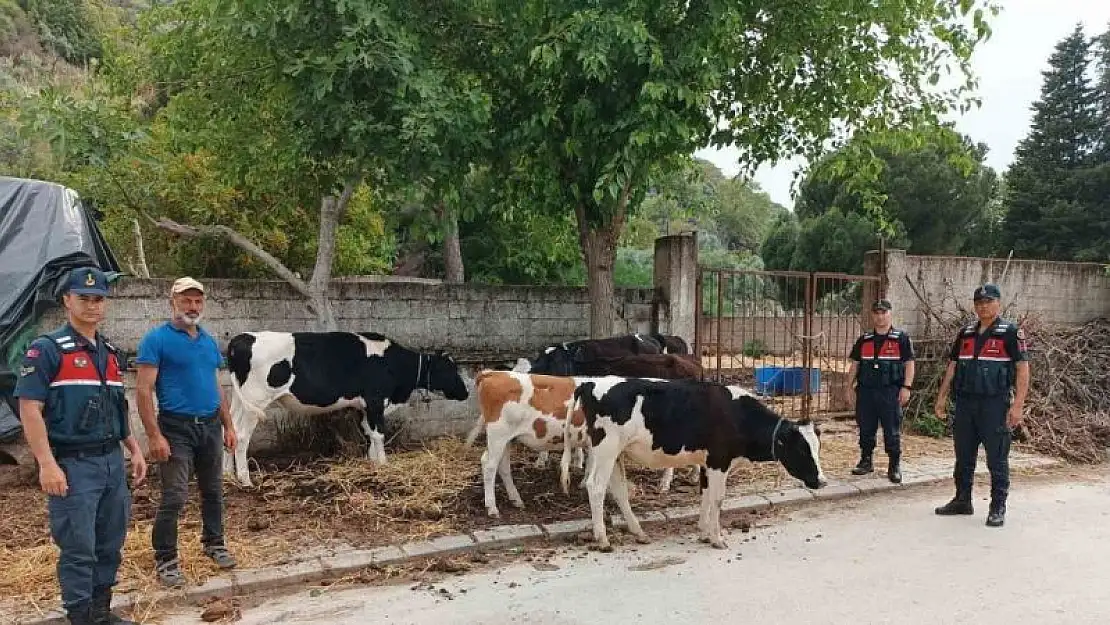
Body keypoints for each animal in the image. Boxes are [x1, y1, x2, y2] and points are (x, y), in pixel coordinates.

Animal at [225, 330, 468, 486]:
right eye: (449, 369)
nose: (466, 392)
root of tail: (243, 338)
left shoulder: (365, 406)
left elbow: (369, 433)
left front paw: (372, 462)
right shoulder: (375, 400)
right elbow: (379, 433)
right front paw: (383, 464)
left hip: (240, 400)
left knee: (230, 430)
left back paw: (227, 474)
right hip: (255, 399)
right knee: (243, 436)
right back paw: (245, 479)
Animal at [563, 375, 825, 550]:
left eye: (817, 447)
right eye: (801, 450)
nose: (822, 482)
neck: (738, 415)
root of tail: (591, 383)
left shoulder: (708, 462)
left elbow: (706, 495)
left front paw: (703, 533)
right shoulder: (719, 461)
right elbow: (718, 499)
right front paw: (717, 538)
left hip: (614, 452)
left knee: (619, 490)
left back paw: (639, 532)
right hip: (606, 448)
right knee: (596, 487)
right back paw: (603, 540)